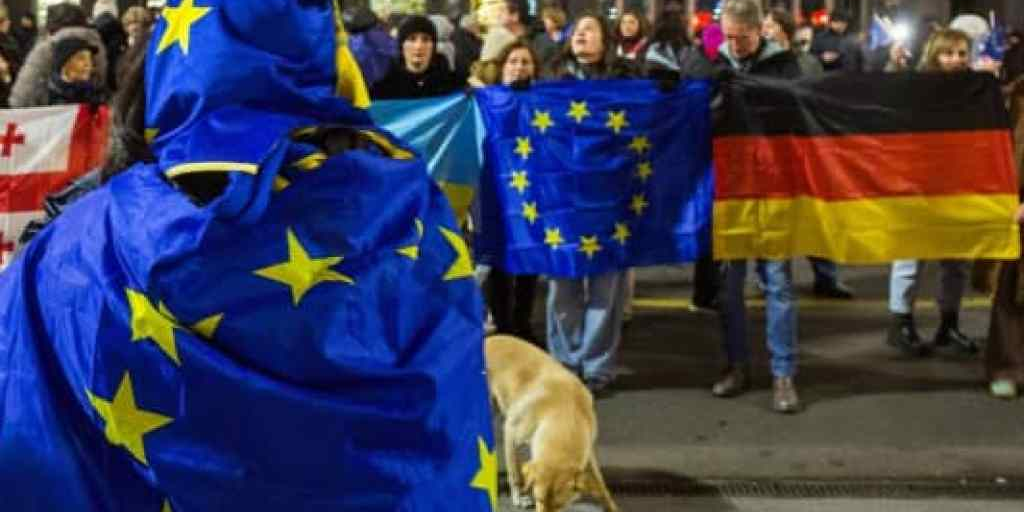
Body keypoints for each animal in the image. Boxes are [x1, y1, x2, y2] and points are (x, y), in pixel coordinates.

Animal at [484, 335, 619, 512]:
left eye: (558, 506)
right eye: (539, 500)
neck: (566, 413)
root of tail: (488, 339)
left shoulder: (589, 452)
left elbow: (601, 485)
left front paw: (611, 504)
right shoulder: (511, 434)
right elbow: (515, 474)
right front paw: (519, 497)